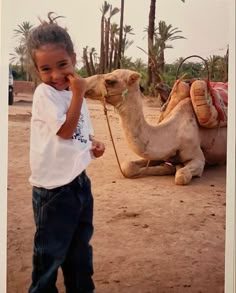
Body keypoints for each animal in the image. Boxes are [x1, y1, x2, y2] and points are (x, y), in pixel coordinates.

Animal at [85, 69, 227, 184]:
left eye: (109, 81)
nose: (85, 84)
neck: (173, 133)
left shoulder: (198, 157)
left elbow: (181, 176)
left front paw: (175, 168)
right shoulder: (156, 155)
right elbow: (127, 167)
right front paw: (169, 167)